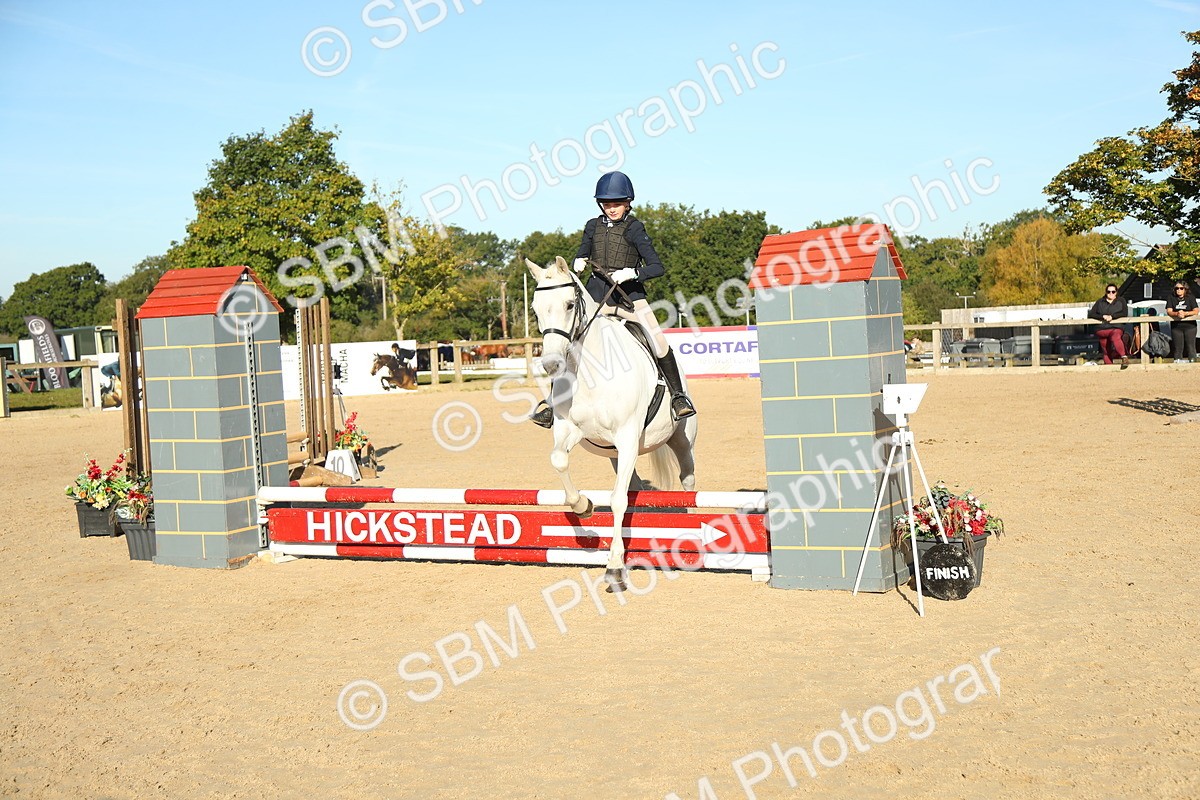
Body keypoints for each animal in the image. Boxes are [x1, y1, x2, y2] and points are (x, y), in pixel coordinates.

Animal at [525, 256, 698, 592]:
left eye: (569, 304)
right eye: (536, 308)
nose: (551, 364)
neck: (592, 371)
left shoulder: (628, 436)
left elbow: (618, 500)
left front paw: (615, 568)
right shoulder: (570, 430)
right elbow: (559, 460)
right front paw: (583, 506)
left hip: (680, 440)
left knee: (687, 480)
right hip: (616, 455)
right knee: (635, 487)